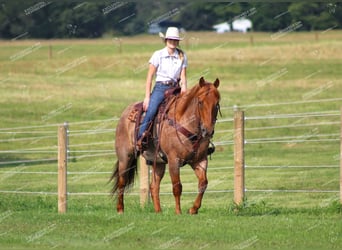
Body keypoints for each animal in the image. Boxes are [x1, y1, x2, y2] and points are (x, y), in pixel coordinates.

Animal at [111, 77, 220, 214]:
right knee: (122, 182)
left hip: (158, 162)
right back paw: (120, 209)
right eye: (200, 102)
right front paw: (178, 212)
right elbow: (177, 186)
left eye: (217, 104)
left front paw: (193, 209)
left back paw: (158, 211)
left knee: (153, 186)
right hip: (125, 157)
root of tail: (125, 114)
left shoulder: (200, 160)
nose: (208, 131)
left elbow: (203, 183)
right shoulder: (174, 160)